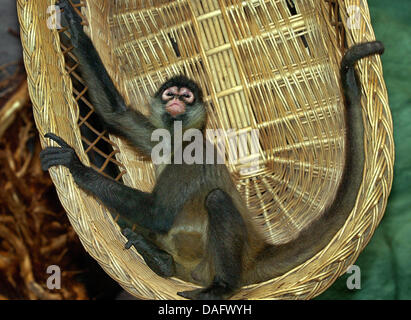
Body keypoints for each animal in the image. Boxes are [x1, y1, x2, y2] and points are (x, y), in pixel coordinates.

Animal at [40, 0, 384, 300]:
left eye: (187, 96)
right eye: (170, 94)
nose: (176, 102)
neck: (178, 139)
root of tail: (255, 248)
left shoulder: (194, 154)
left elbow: (158, 213)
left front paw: (74, 164)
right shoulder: (158, 134)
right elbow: (114, 113)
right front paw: (73, 27)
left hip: (208, 264)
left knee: (217, 200)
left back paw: (221, 287)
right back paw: (160, 260)